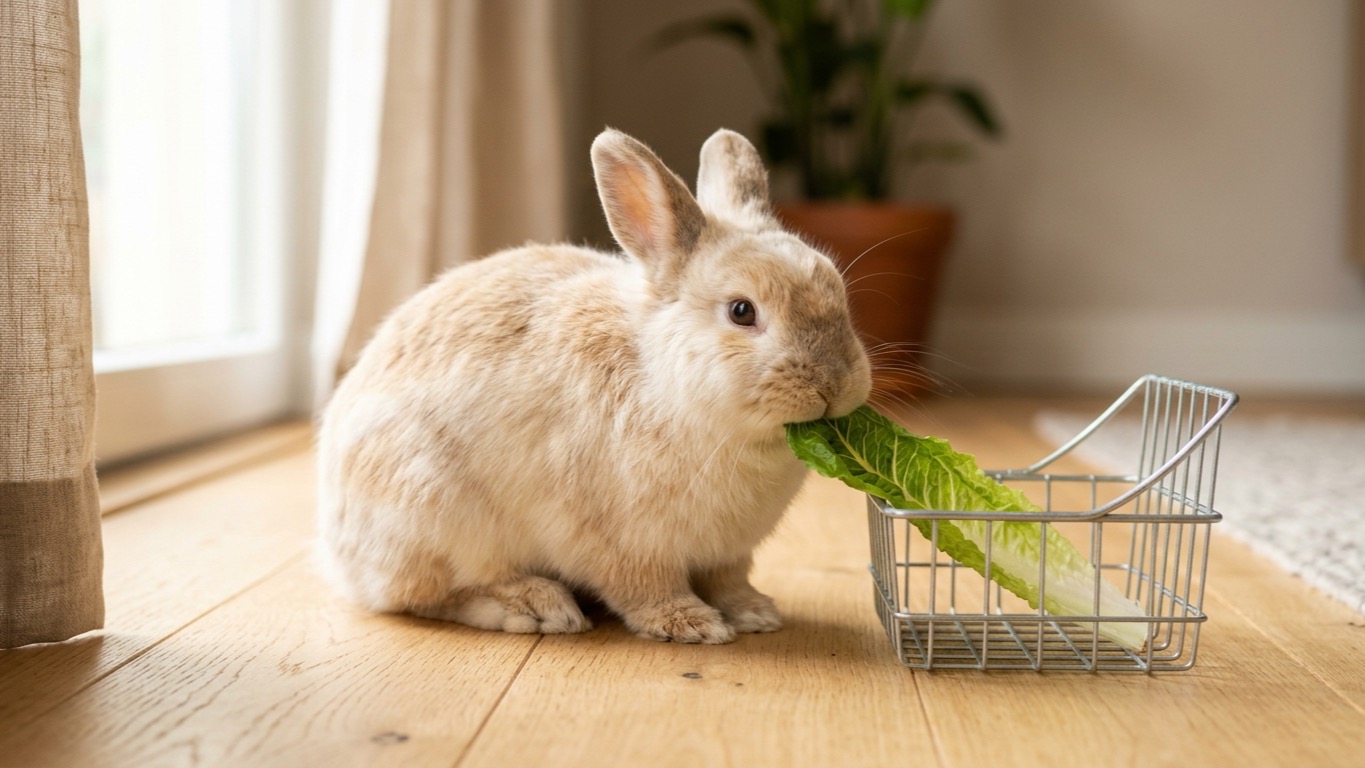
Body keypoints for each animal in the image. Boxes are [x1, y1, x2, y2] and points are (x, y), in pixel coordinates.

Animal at [316, 127, 872, 644]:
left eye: (837, 290)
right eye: (741, 311)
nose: (834, 384)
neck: (662, 383)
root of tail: (337, 554)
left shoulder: (729, 555)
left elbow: (729, 582)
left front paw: (755, 614)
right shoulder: (622, 543)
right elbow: (644, 587)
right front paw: (690, 625)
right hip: (435, 515)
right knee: (429, 594)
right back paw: (538, 607)